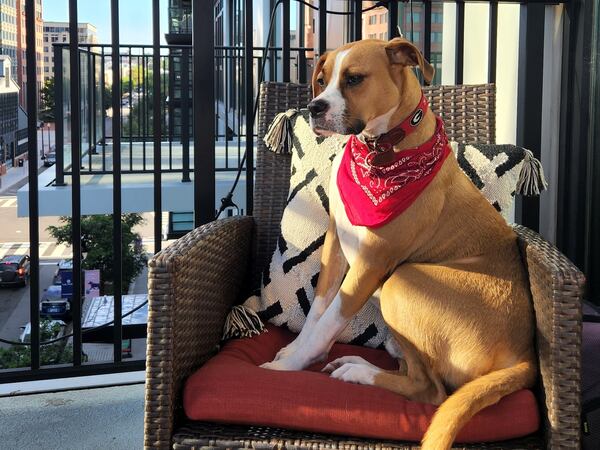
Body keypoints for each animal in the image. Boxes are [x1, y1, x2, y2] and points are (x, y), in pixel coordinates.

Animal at [262, 38, 536, 450]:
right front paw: (296, 350)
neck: (380, 151)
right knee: (412, 370)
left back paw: (357, 373)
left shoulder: (370, 264)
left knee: (431, 390)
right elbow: (316, 313)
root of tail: (525, 354)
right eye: (321, 80)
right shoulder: (336, 245)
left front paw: (288, 367)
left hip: (401, 281)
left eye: (354, 79)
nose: (314, 108)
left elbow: (328, 322)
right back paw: (355, 364)